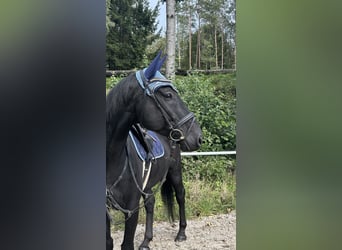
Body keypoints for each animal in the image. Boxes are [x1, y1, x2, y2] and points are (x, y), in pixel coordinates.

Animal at [106, 51, 203, 250]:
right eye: (168, 95)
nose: (198, 136)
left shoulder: (131, 208)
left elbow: (126, 244)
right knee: (150, 203)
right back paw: (146, 241)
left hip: (175, 172)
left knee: (180, 195)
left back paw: (181, 233)